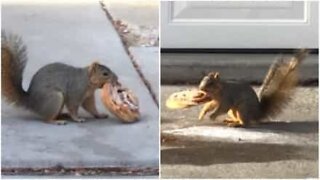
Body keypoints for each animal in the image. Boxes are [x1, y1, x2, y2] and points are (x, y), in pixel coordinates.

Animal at [166, 49, 308, 127]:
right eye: (202, 81)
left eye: (211, 83)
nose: (201, 89)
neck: (219, 90)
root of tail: (257, 115)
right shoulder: (215, 100)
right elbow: (210, 105)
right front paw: (202, 113)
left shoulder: (227, 98)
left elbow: (222, 108)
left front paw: (212, 116)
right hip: (234, 111)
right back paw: (230, 120)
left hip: (242, 109)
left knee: (245, 123)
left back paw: (236, 124)